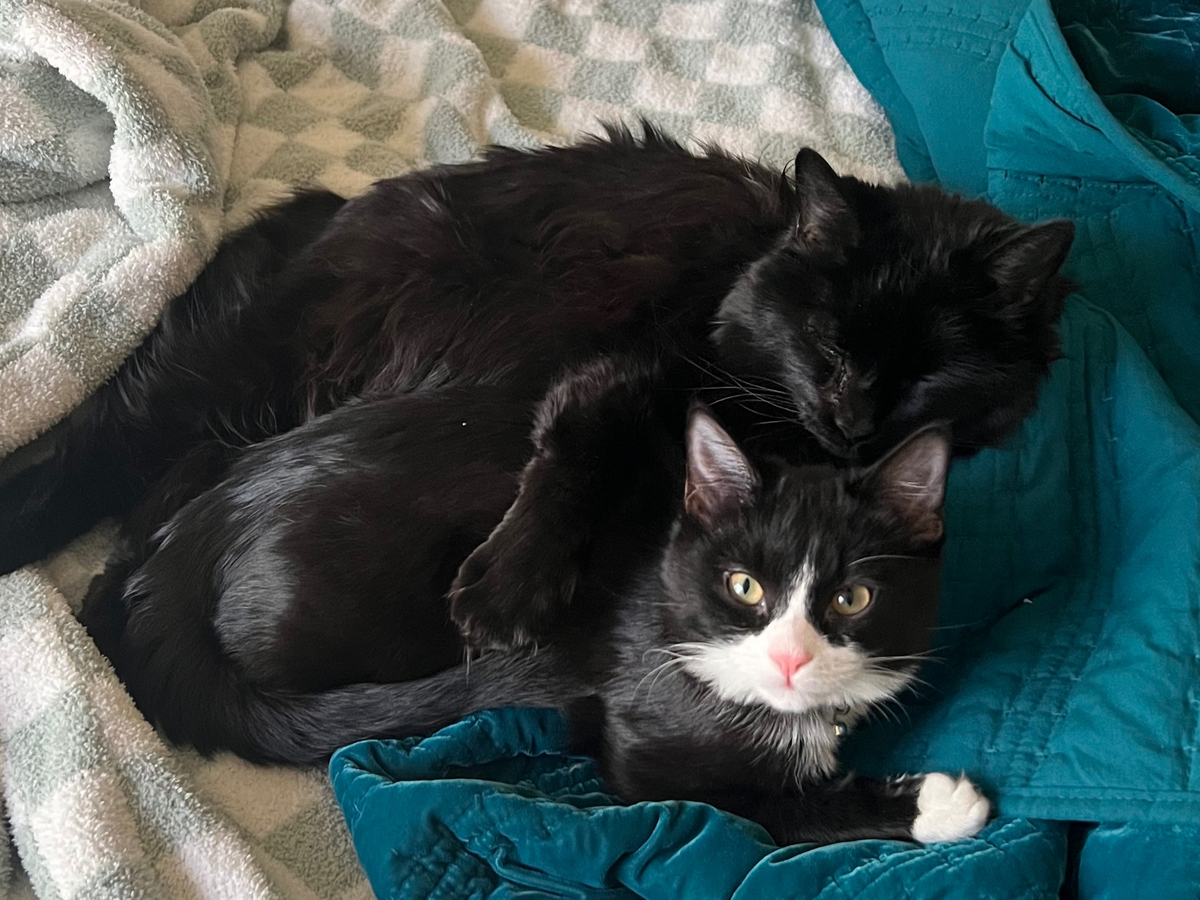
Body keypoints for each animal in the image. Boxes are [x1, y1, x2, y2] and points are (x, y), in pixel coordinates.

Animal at [0, 123, 1074, 579]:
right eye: (826, 340)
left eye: (926, 374)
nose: (851, 418)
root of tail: (319, 215)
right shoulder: (625, 368)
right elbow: (572, 456)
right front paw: (509, 586)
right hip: (210, 374)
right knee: (86, 458)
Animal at [79, 359, 987, 846]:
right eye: (744, 586)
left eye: (854, 597)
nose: (792, 658)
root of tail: (196, 545)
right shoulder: (643, 753)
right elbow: (758, 808)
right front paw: (938, 804)